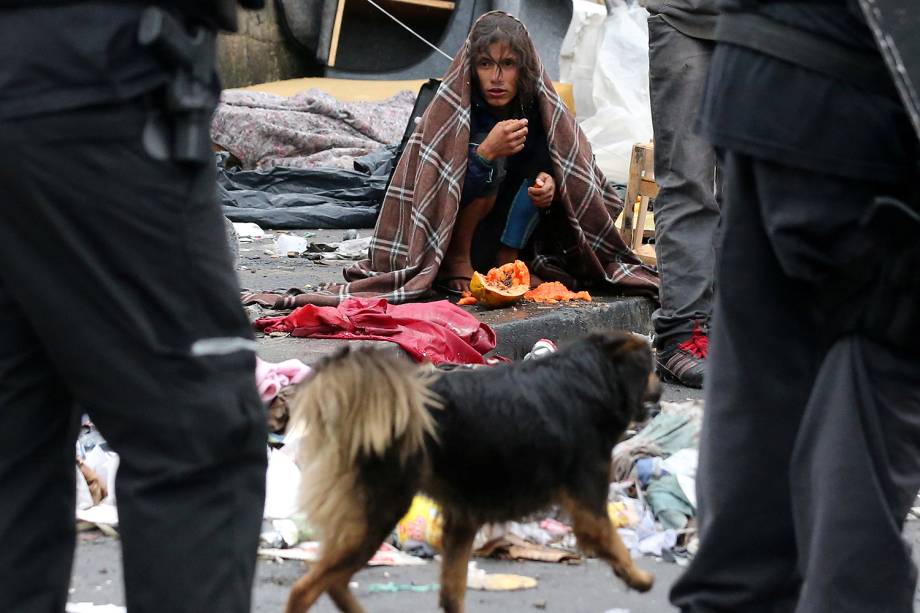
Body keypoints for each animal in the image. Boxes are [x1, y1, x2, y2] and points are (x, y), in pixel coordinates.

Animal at [284, 330, 656, 612]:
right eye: (651, 367)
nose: (660, 389)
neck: (591, 376)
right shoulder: (589, 503)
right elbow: (612, 541)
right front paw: (638, 578)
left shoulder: (462, 520)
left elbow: (452, 591)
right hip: (377, 513)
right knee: (306, 588)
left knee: (333, 581)